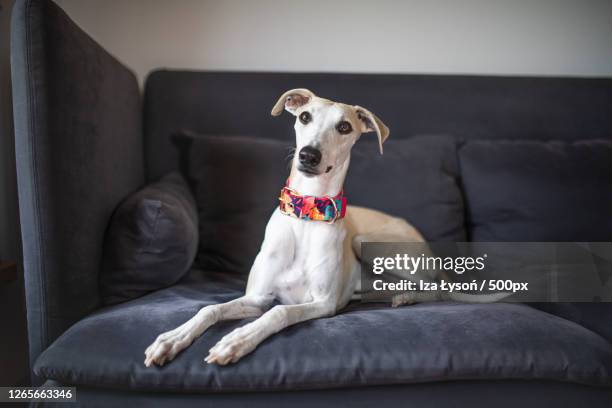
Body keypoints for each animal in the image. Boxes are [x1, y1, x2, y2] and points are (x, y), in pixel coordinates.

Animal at [145, 88, 464, 366]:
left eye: (344, 127)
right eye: (305, 117)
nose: (309, 155)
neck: (308, 213)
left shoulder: (323, 303)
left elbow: (278, 313)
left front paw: (237, 340)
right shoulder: (257, 298)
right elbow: (210, 309)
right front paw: (171, 339)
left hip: (369, 243)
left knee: (438, 289)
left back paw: (407, 297)